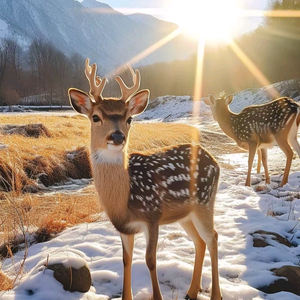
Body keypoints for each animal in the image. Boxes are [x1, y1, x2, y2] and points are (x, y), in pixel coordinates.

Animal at [68, 59, 223, 300]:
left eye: (129, 119)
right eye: (95, 117)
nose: (117, 136)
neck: (123, 200)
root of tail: (214, 160)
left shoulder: (153, 216)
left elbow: (150, 260)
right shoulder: (124, 227)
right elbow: (126, 260)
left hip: (205, 202)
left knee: (213, 238)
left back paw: (216, 294)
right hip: (185, 214)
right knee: (199, 241)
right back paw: (191, 291)